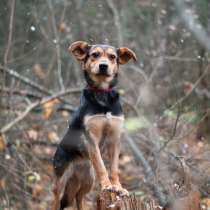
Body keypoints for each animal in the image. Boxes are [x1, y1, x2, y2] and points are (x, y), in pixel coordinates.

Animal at [51, 41, 135, 210]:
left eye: (112, 57)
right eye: (94, 55)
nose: (103, 66)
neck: (103, 94)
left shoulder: (115, 139)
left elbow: (114, 168)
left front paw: (118, 187)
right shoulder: (92, 138)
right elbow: (102, 167)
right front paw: (107, 186)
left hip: (88, 179)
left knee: (79, 197)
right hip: (61, 178)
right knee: (56, 199)